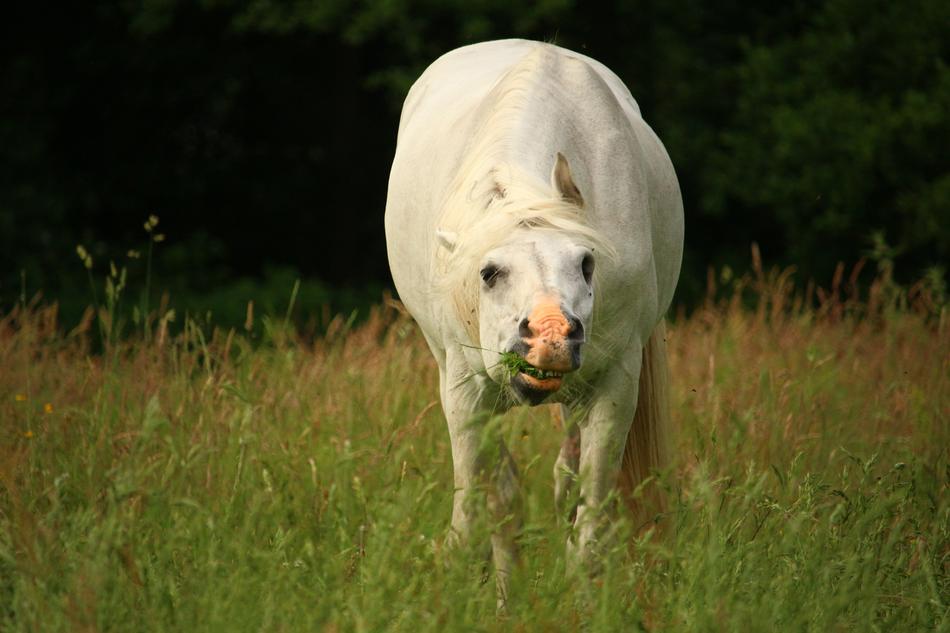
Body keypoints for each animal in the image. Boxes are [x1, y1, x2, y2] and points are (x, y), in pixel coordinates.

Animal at [384, 39, 684, 603]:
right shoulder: (465, 389)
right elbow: (483, 501)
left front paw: (583, 599)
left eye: (587, 263)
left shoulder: (616, 382)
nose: (551, 338)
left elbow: (589, 502)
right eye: (488, 272)